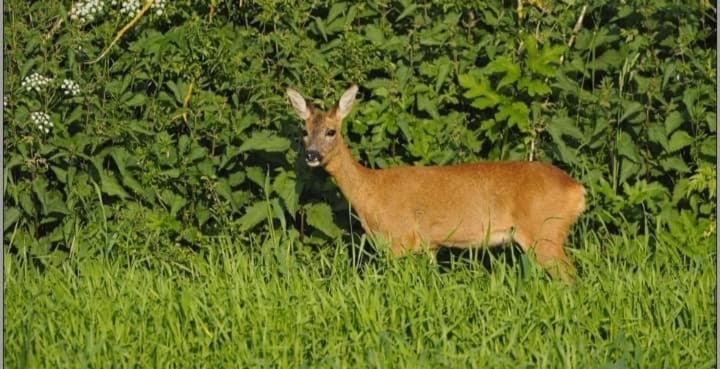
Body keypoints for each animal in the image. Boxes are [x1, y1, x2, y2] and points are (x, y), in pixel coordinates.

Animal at [286, 85, 584, 280]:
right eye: (304, 131)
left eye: (331, 131)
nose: (312, 155)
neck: (370, 191)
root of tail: (577, 191)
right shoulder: (428, 245)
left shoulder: (400, 238)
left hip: (545, 232)